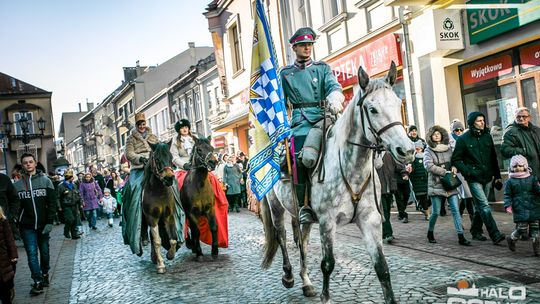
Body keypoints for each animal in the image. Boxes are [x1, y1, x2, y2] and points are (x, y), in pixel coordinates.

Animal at [141, 141, 179, 274]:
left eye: (171, 157)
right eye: (157, 159)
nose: (169, 178)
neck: (159, 192)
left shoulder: (169, 216)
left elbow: (173, 239)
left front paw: (170, 255)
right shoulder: (152, 218)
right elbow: (157, 241)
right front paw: (161, 265)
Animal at [260, 62, 414, 304]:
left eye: (398, 104)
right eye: (372, 109)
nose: (406, 151)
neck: (352, 168)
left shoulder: (370, 220)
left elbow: (382, 268)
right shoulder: (327, 222)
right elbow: (328, 264)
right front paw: (326, 297)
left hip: (302, 215)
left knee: (302, 242)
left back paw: (306, 282)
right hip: (276, 206)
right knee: (282, 237)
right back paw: (289, 276)